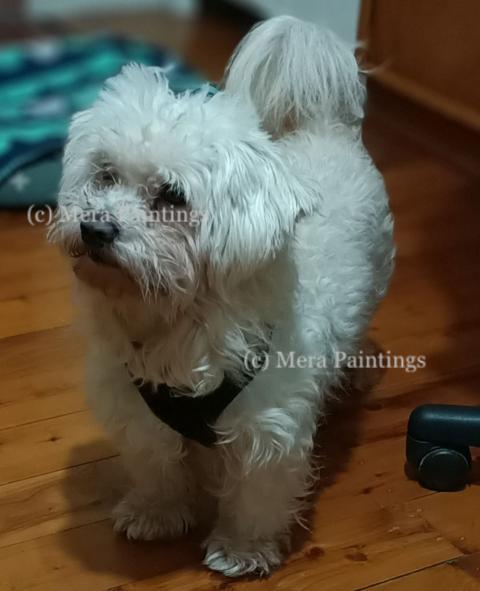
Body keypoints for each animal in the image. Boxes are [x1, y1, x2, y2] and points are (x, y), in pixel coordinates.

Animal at [49, 16, 394, 577]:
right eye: (104, 175)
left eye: (172, 195)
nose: (95, 228)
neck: (176, 320)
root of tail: (327, 128)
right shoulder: (136, 411)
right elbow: (155, 467)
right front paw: (155, 514)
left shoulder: (268, 427)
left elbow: (256, 494)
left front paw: (241, 549)